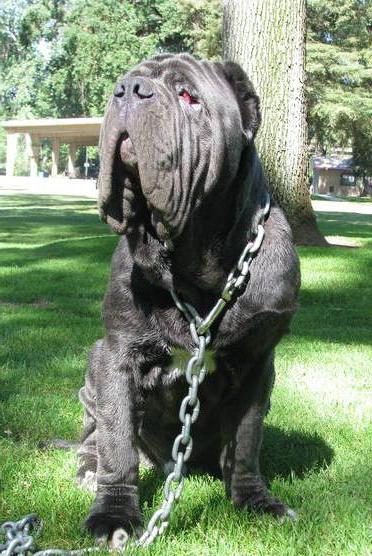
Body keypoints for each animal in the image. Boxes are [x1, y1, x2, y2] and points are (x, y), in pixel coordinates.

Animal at [77, 53, 300, 544]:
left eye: (188, 96)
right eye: (123, 82)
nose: (129, 89)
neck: (195, 263)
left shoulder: (258, 364)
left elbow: (247, 440)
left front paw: (255, 499)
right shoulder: (115, 356)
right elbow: (117, 439)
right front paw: (114, 515)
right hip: (89, 378)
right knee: (96, 435)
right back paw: (88, 467)